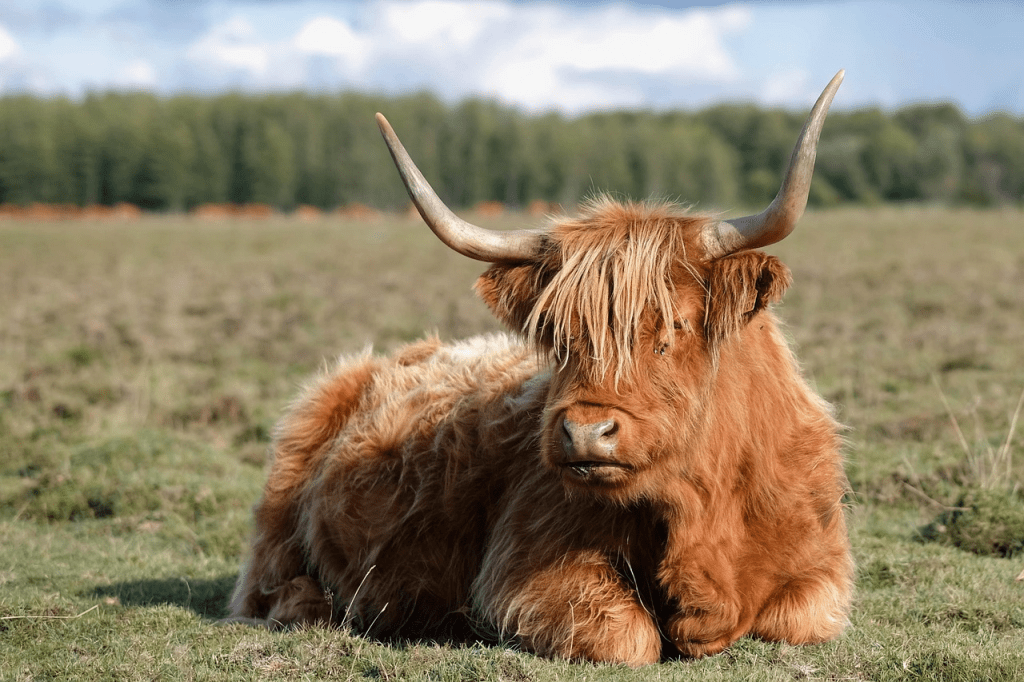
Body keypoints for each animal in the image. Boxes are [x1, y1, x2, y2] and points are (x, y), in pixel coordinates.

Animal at [226, 71, 854, 666]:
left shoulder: (822, 572)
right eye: (556, 334)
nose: (586, 433)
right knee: (265, 586)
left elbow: (794, 618)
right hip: (283, 495)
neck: (703, 506)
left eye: (674, 326)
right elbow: (627, 637)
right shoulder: (522, 570)